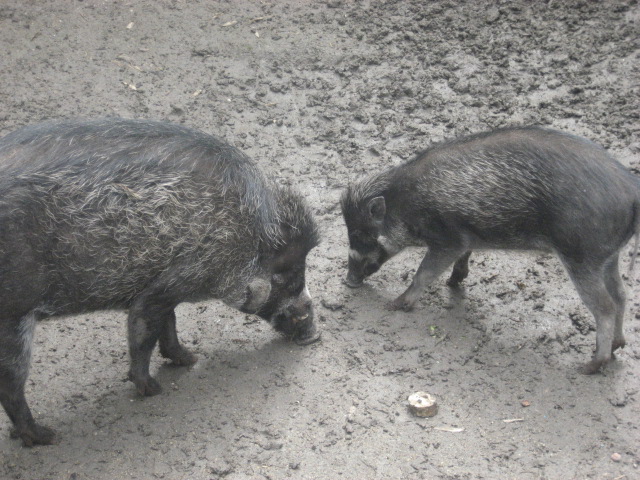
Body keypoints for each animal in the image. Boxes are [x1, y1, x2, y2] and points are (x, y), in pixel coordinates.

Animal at [0, 118, 320, 446]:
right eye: (283, 274)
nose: (314, 335)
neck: (244, 232)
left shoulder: (165, 285)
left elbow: (169, 323)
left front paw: (189, 358)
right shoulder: (170, 283)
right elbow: (144, 335)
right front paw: (153, 388)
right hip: (13, 317)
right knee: (10, 384)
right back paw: (44, 436)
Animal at [341, 126, 640, 375]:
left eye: (359, 234)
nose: (349, 282)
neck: (404, 203)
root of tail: (633, 191)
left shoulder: (448, 239)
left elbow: (423, 273)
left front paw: (396, 304)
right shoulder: (465, 239)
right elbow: (461, 260)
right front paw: (453, 282)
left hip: (580, 256)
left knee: (605, 306)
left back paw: (590, 366)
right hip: (607, 257)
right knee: (621, 295)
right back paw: (617, 346)